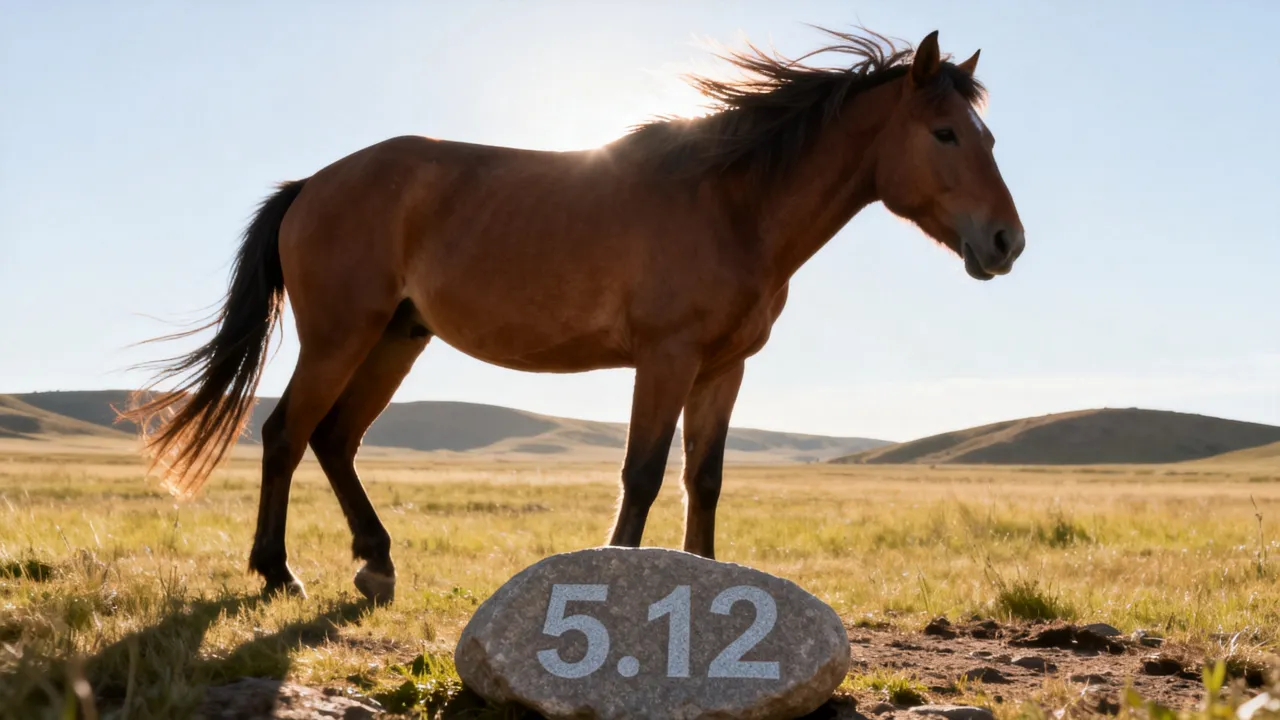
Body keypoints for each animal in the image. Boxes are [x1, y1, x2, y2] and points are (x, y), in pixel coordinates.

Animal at [124, 27, 1025, 603]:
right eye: (945, 133)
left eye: (986, 135)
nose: (1006, 241)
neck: (732, 204)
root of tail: (312, 182)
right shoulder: (665, 358)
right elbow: (643, 474)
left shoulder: (723, 368)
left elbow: (704, 480)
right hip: (342, 336)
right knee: (287, 434)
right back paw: (279, 572)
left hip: (395, 338)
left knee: (335, 439)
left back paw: (376, 565)